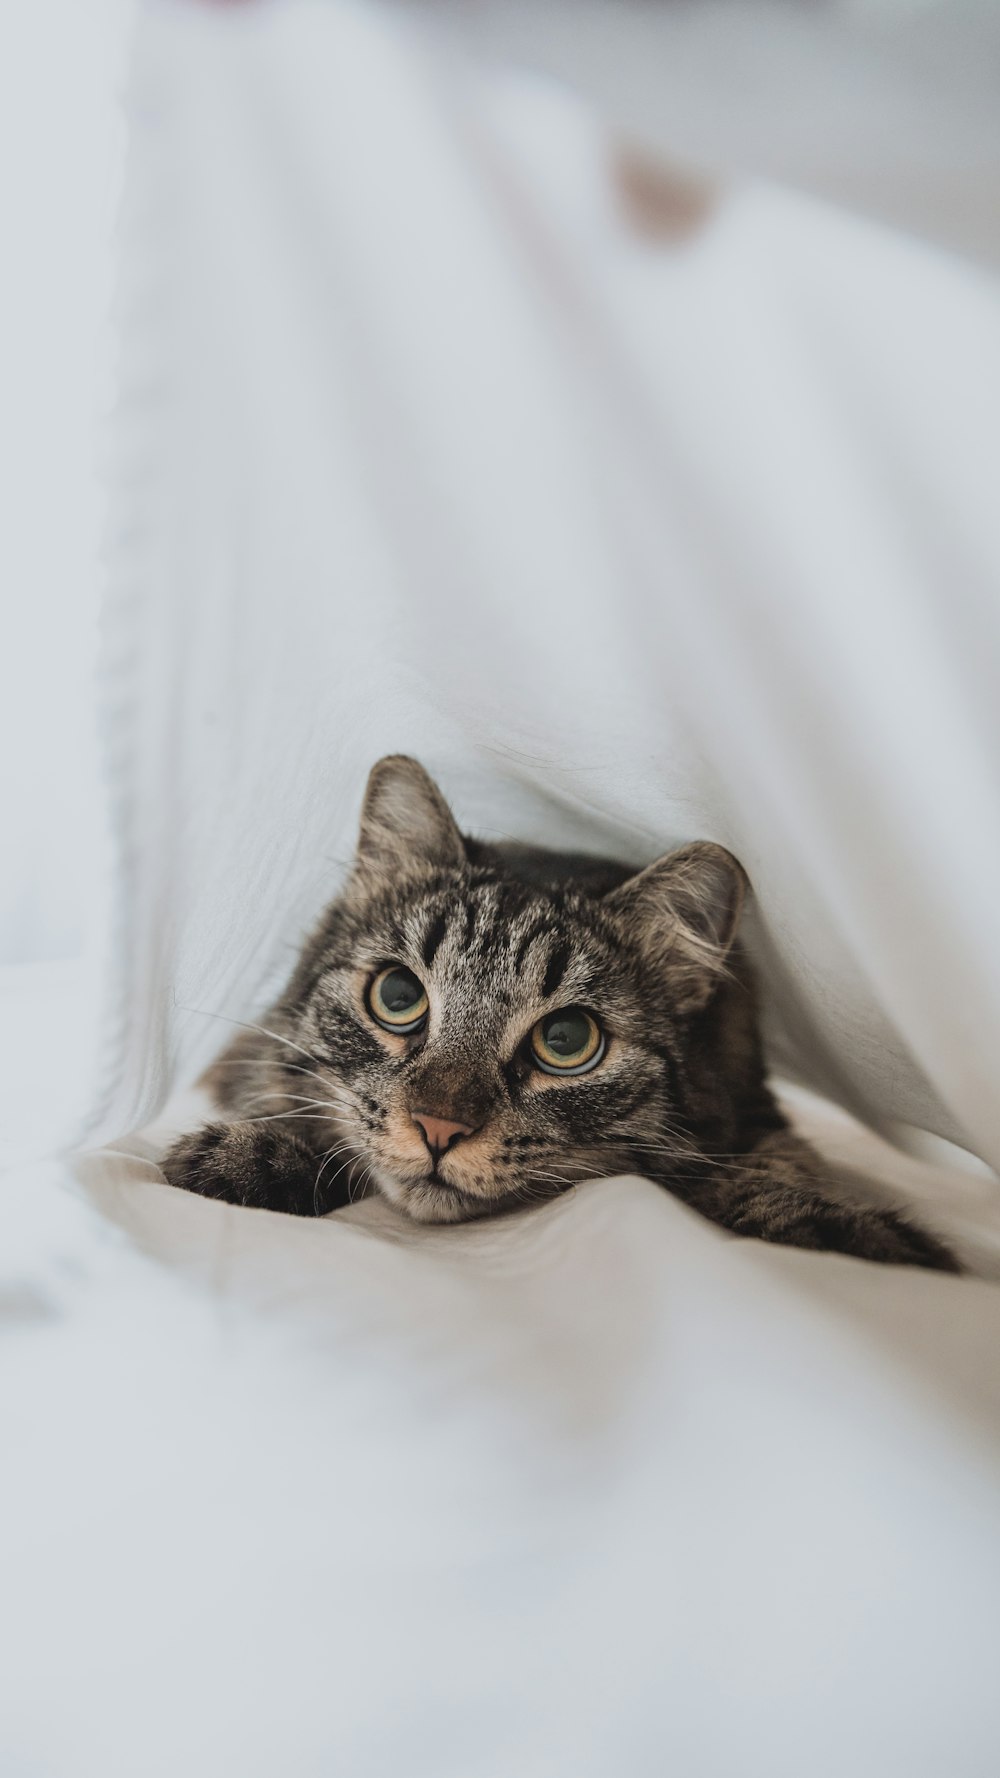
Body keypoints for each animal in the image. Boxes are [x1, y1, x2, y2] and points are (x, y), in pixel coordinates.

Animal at [163, 757, 960, 1273]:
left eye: (567, 1041)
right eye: (398, 998)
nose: (438, 1130)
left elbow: (767, 1180)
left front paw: (840, 1232)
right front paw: (245, 1157)